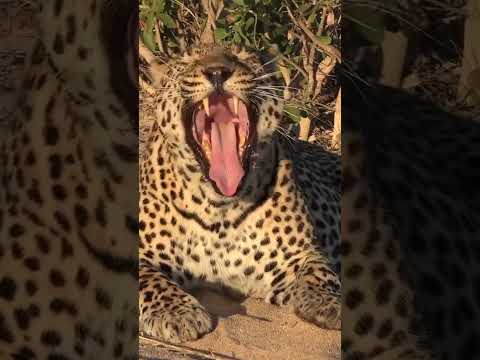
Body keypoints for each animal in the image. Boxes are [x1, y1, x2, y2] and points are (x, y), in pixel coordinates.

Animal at [138, 44, 342, 344]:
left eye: (243, 56)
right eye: (189, 59)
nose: (217, 72)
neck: (218, 209)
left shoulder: (299, 255)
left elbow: (319, 272)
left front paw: (328, 303)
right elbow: (150, 280)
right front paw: (176, 312)